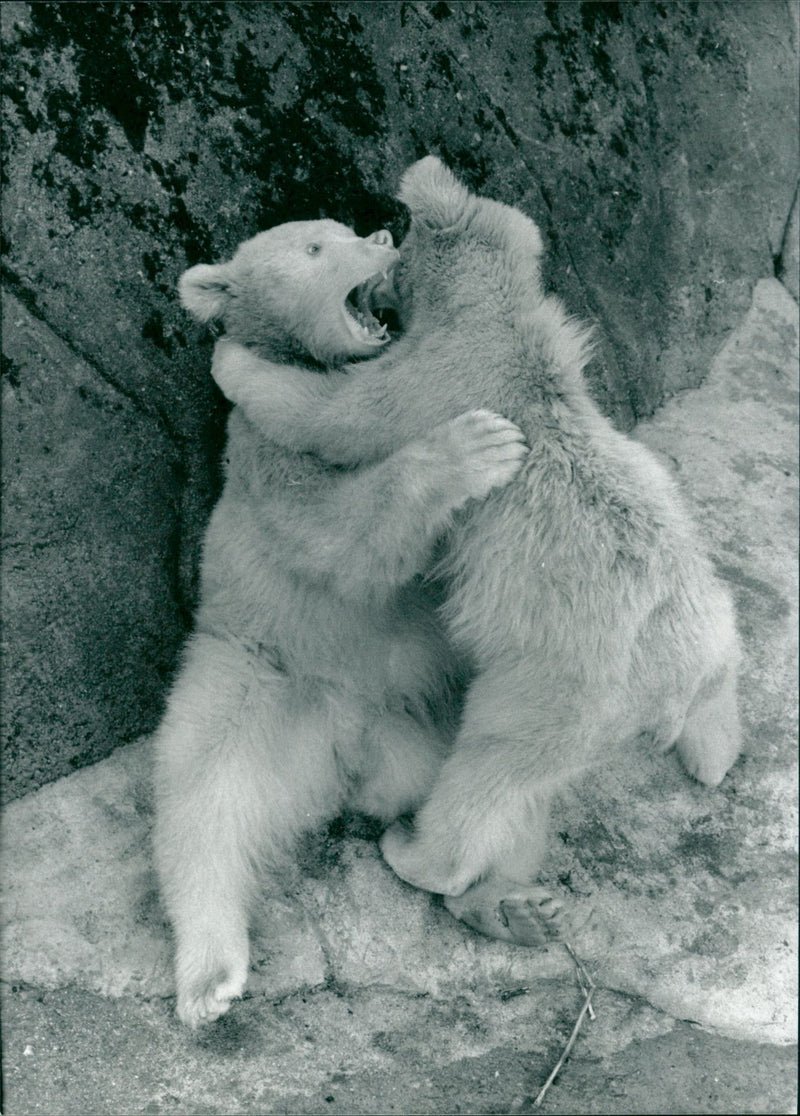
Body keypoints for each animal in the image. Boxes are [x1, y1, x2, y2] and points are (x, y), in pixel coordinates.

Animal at [154, 216, 529, 1027]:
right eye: (315, 248)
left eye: (349, 229)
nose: (383, 235)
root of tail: (346, 763)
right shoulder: (265, 454)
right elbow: (337, 532)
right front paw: (472, 446)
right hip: (253, 680)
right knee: (201, 796)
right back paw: (211, 977)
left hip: (426, 722)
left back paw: (505, 905)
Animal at [209, 157, 743, 947]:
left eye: (394, 243)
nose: (380, 243)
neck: (503, 322)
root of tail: (671, 695)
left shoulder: (428, 379)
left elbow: (332, 414)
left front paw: (232, 361)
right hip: (702, 619)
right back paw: (717, 750)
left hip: (561, 684)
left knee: (492, 770)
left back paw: (418, 853)